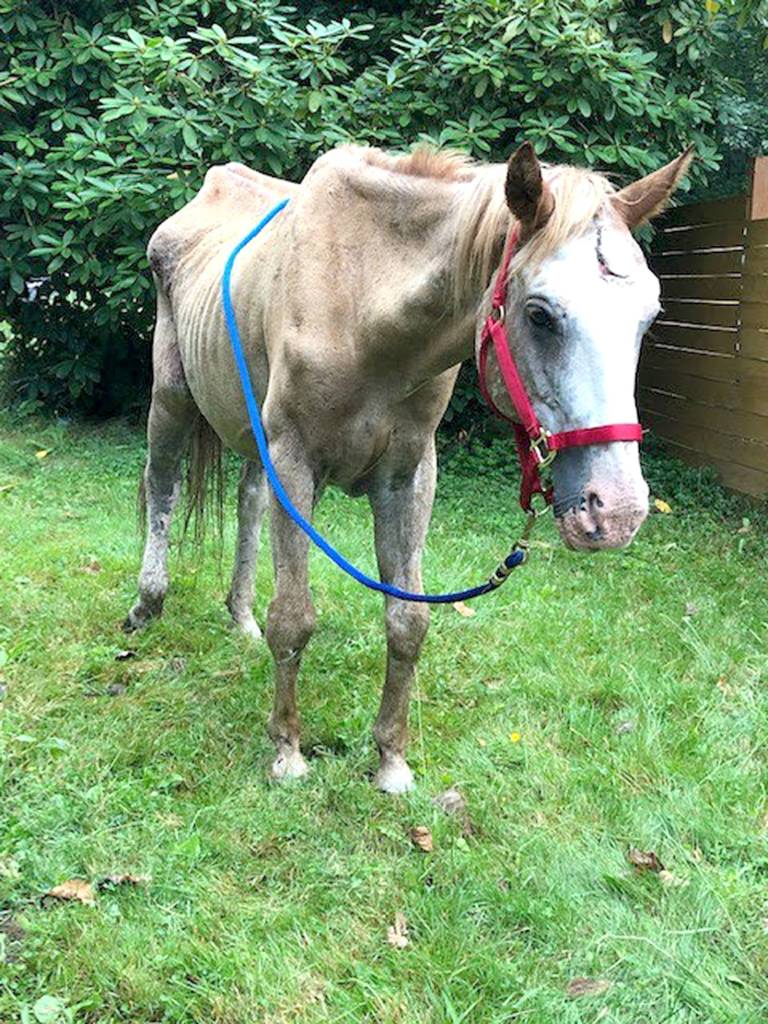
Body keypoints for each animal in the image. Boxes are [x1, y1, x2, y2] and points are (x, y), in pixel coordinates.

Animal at [126, 141, 692, 792]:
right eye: (540, 314)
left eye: (649, 315)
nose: (617, 511)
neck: (359, 300)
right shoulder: (294, 463)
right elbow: (293, 618)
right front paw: (287, 752)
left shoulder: (408, 477)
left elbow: (408, 621)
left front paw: (391, 761)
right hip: (171, 400)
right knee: (161, 487)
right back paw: (146, 605)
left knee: (247, 503)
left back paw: (240, 617)